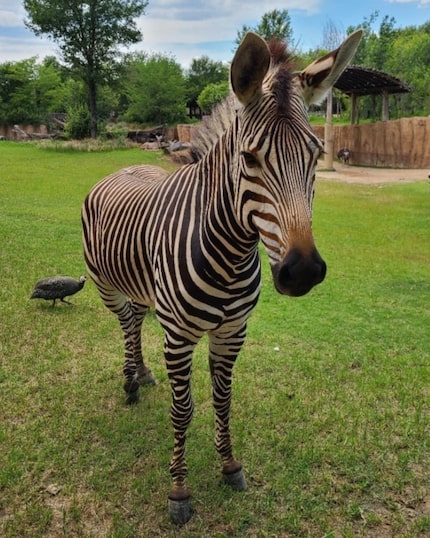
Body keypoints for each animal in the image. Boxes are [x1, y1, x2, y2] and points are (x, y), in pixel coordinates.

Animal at [81, 30, 362, 524]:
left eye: (317, 155)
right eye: (249, 158)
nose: (303, 272)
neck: (230, 254)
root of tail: (125, 165)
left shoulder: (233, 332)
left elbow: (222, 398)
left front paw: (229, 465)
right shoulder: (178, 337)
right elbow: (183, 410)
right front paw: (178, 491)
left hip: (140, 287)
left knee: (134, 321)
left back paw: (142, 374)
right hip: (105, 286)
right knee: (126, 323)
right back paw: (130, 380)